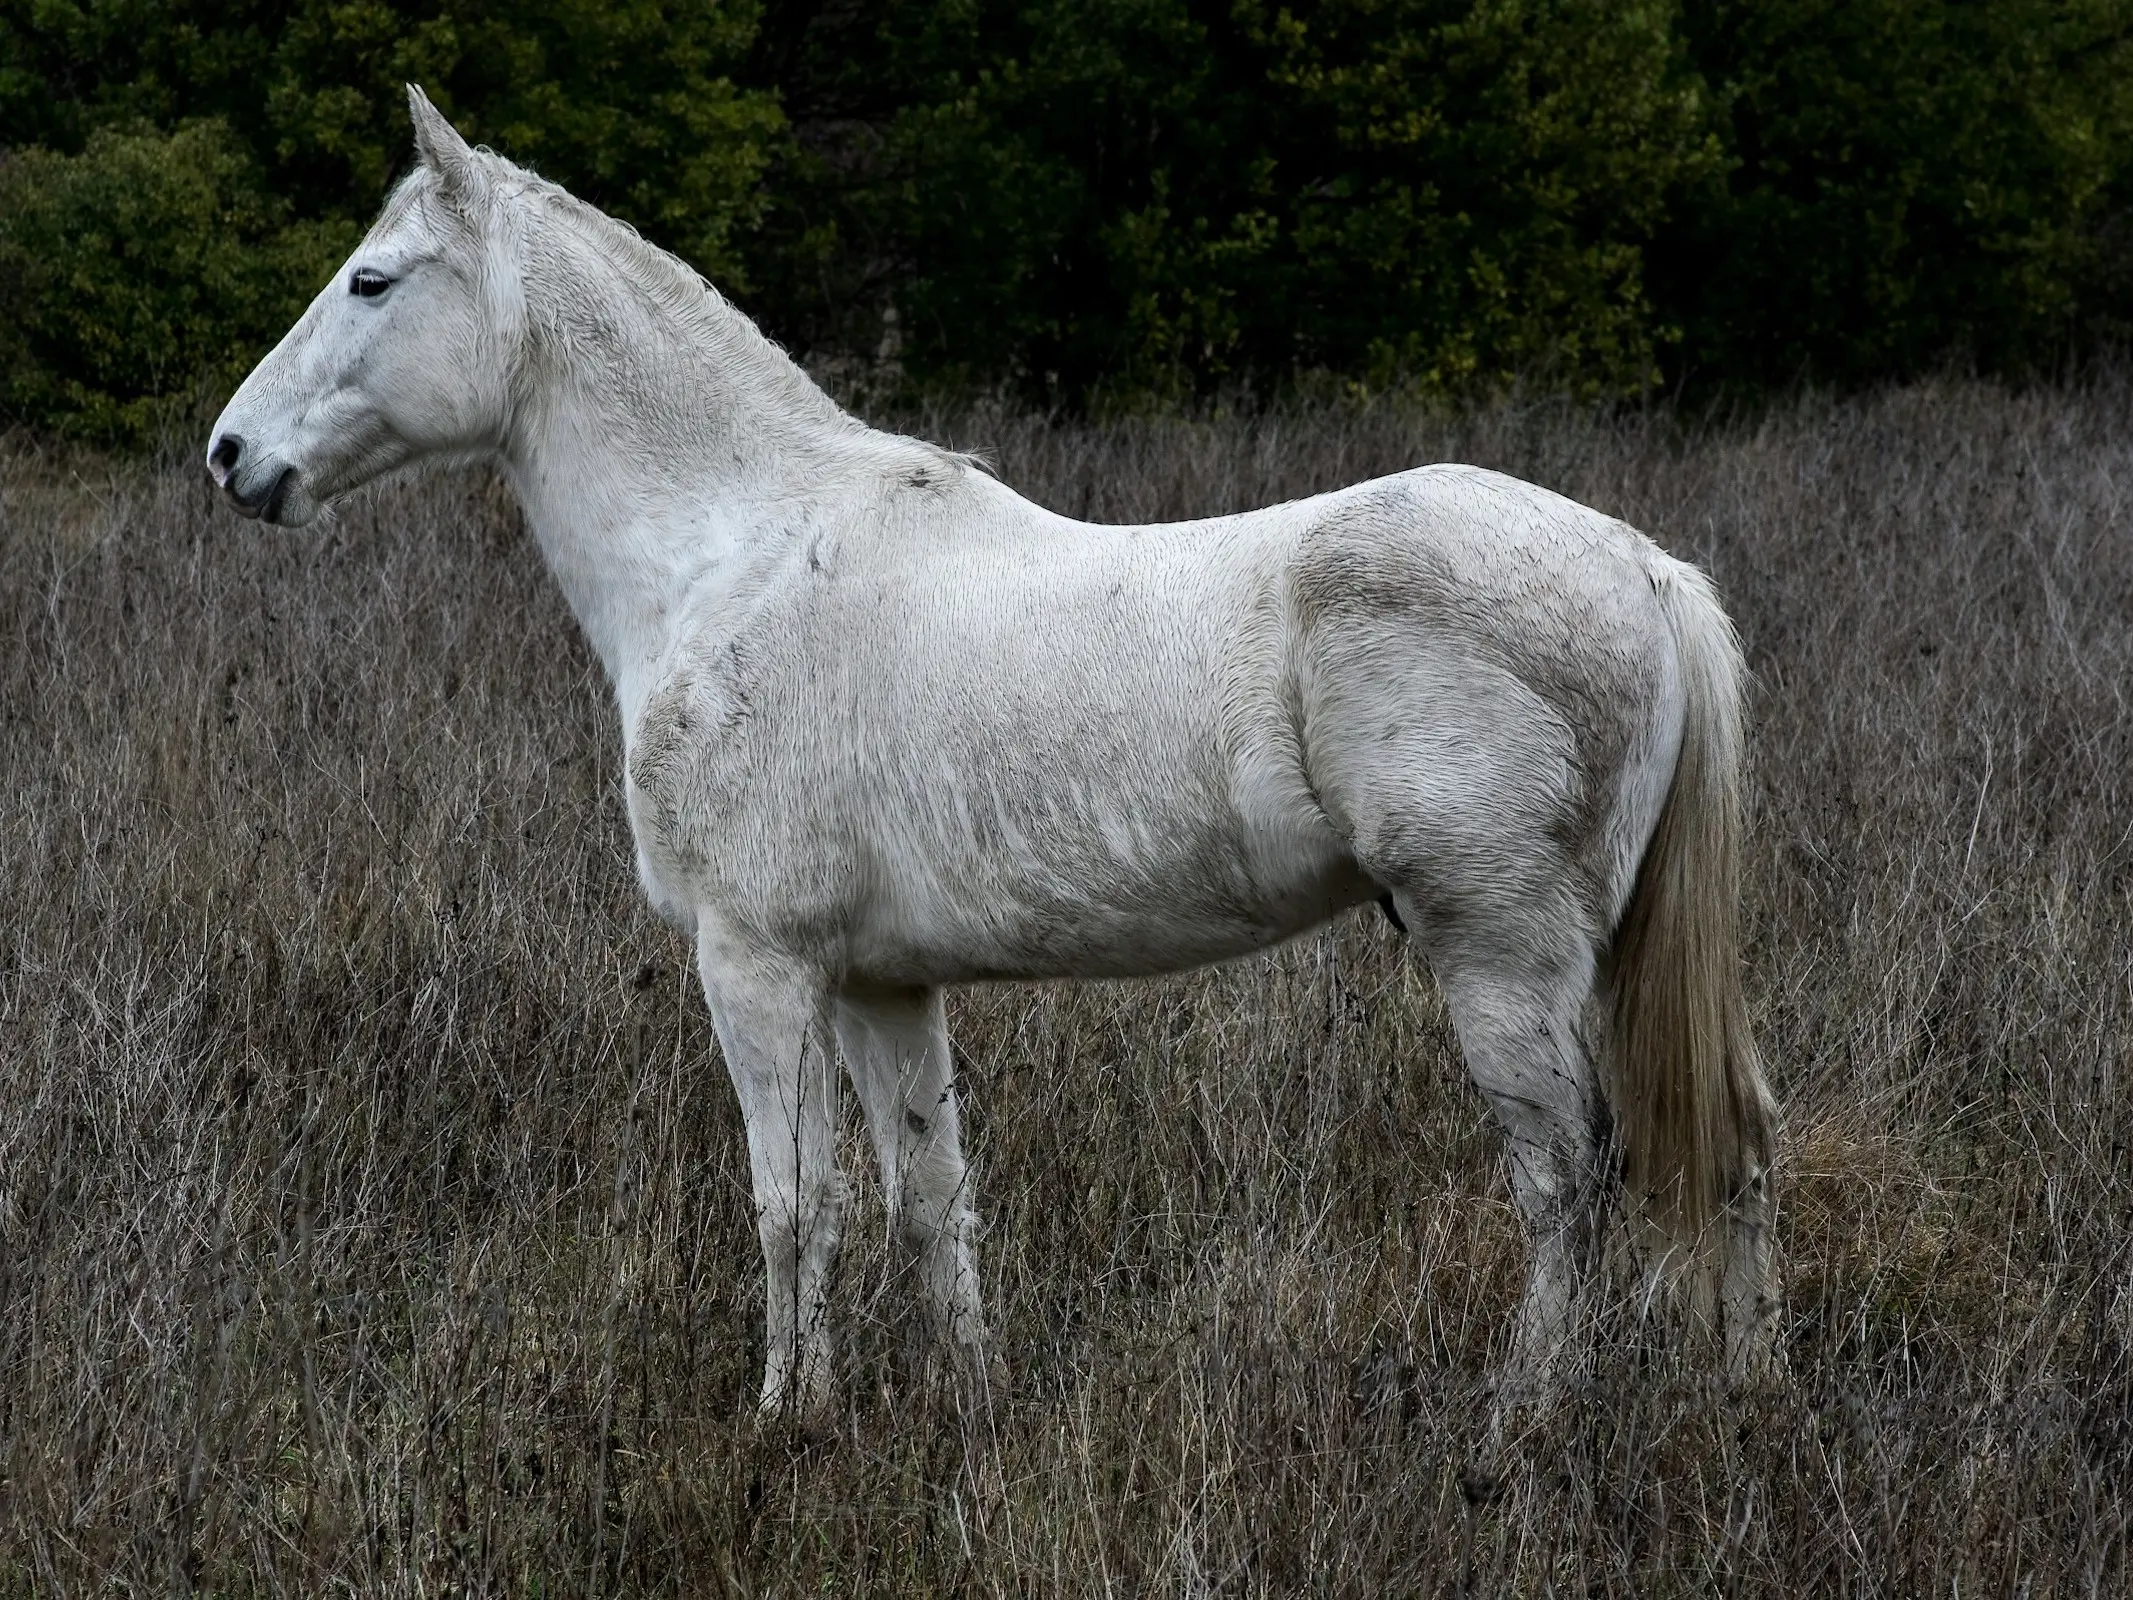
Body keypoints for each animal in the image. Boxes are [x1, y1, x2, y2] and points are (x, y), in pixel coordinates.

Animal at [212, 84, 1783, 1416]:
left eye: (372, 279)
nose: (233, 456)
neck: (739, 555)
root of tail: (1645, 570)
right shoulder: (881, 984)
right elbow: (927, 1199)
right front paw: (968, 1405)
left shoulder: (756, 964)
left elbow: (797, 1206)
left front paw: (788, 1420)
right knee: (1736, 1144)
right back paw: (1747, 1399)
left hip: (1500, 953)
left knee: (1565, 1180)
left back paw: (1521, 1418)